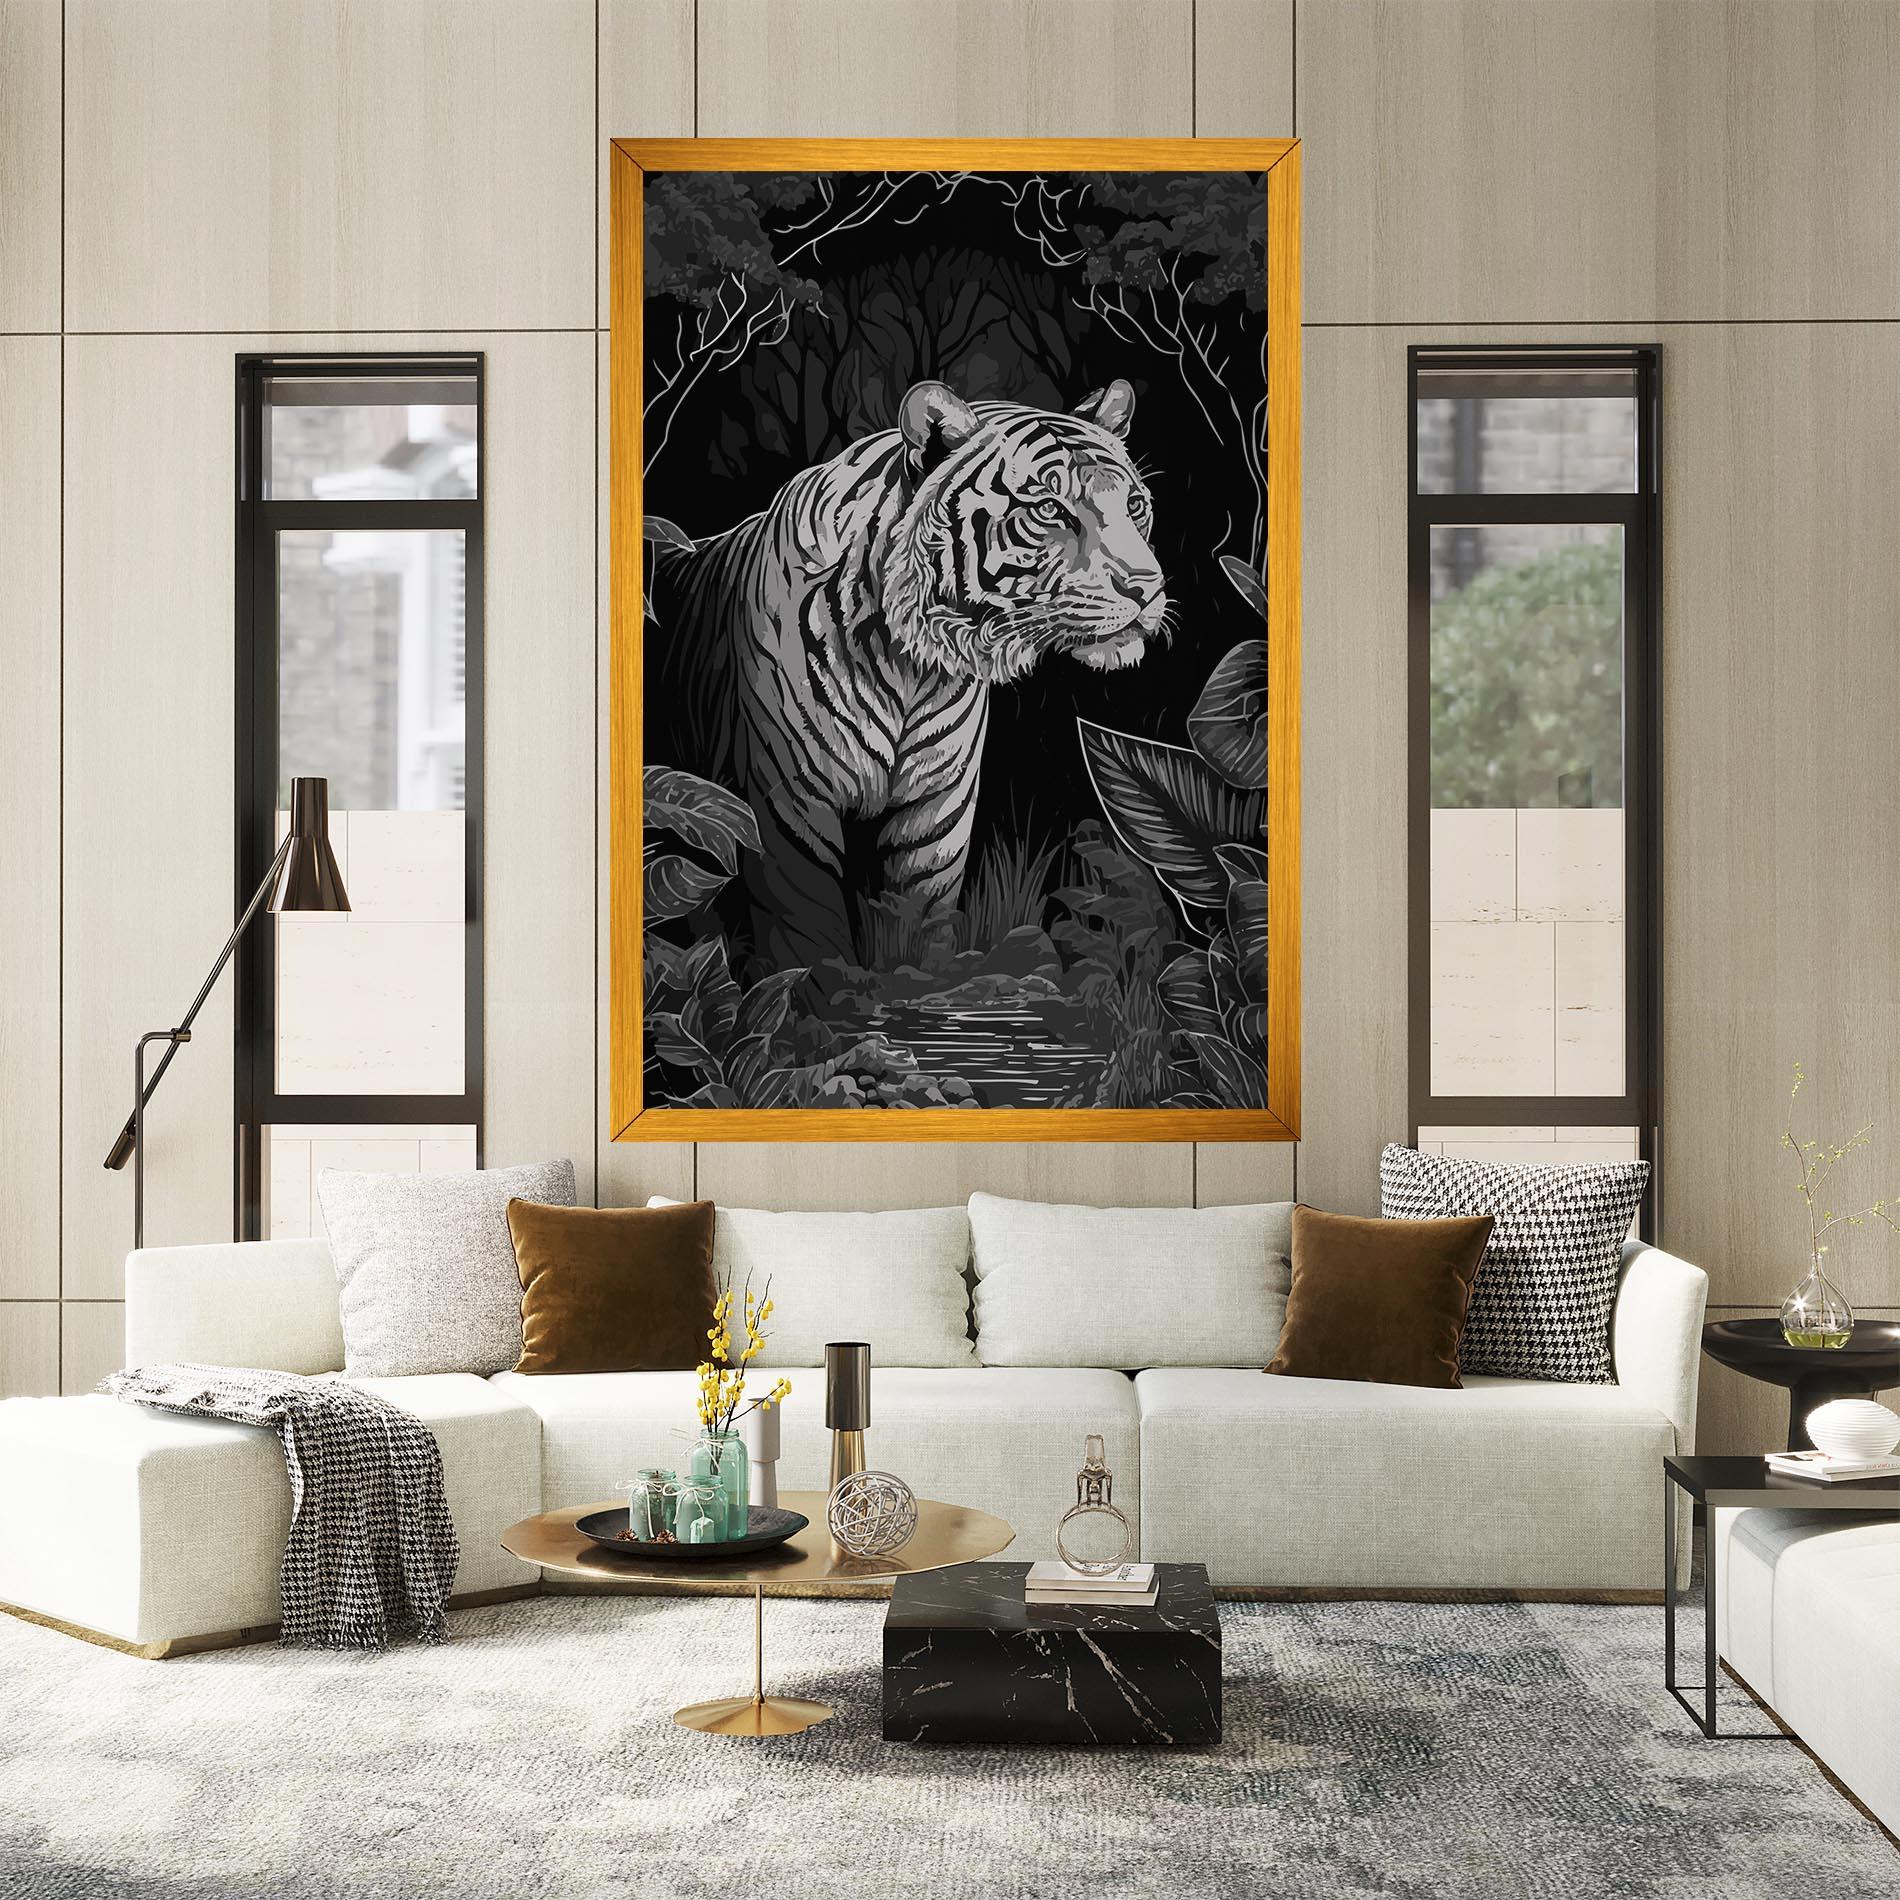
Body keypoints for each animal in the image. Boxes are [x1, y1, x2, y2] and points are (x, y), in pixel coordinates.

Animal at [652, 378, 1167, 971]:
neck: (911, 668)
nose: (1147, 587)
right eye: (1049, 508)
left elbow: (921, 932)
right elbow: (808, 943)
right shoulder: (788, 811)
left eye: (1134, 505)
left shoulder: (936, 814)